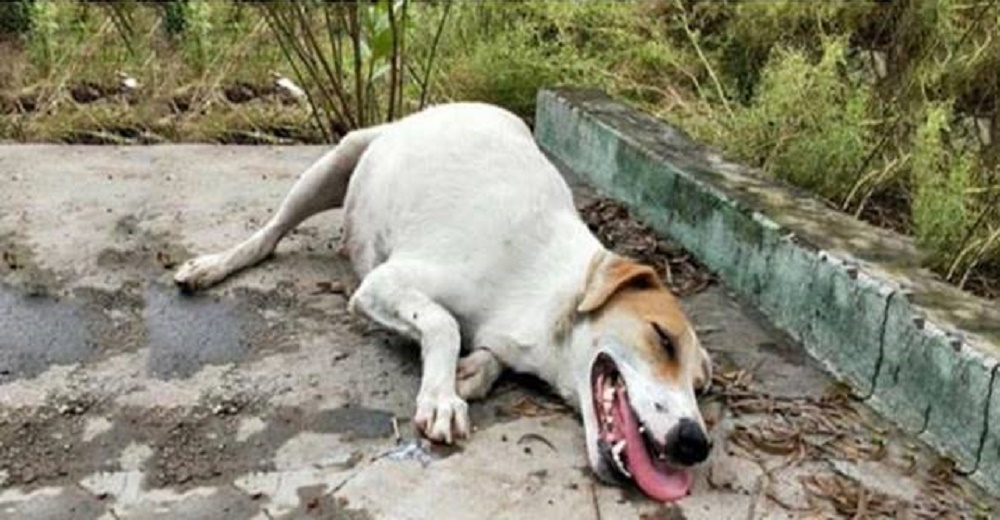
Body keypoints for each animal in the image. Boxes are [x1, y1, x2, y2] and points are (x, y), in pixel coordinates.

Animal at [176, 100, 716, 500]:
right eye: (662, 339)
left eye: (699, 385)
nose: (696, 444)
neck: (552, 291)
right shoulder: (383, 283)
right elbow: (443, 324)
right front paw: (440, 394)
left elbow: (482, 352)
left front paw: (473, 371)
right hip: (334, 162)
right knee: (267, 236)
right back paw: (213, 266)